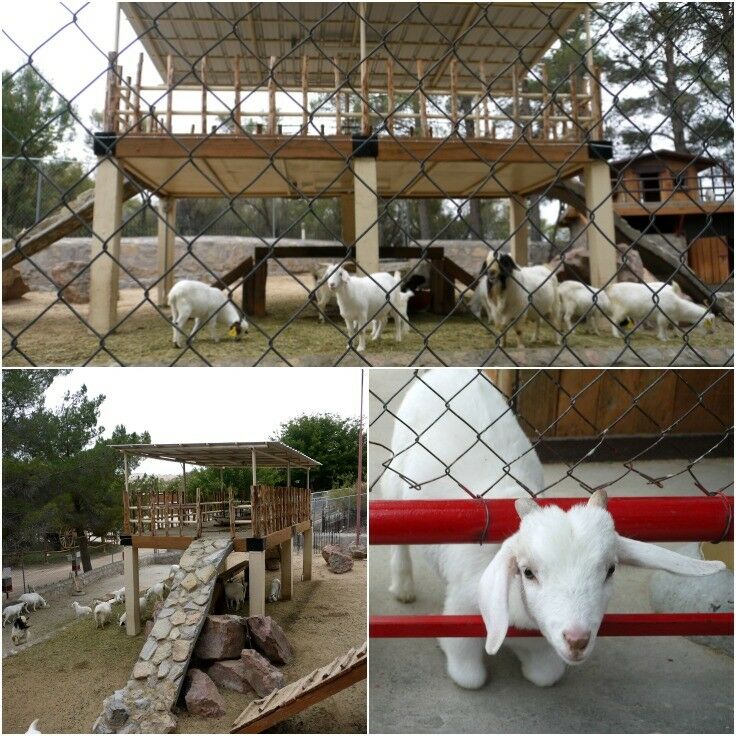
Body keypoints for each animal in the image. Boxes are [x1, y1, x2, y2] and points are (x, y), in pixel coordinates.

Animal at [386, 370, 724, 688]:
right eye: (527, 572)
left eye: (611, 569)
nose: (577, 640)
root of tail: (454, 371)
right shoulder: (461, 617)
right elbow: (469, 675)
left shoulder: (542, 646)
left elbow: (545, 675)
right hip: (396, 476)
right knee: (399, 536)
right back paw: (403, 588)